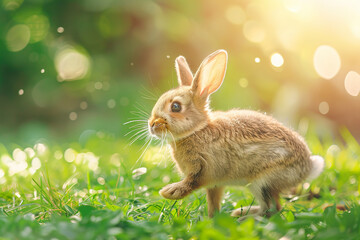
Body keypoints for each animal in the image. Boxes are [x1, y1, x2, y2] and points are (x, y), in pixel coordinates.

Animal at [148, 48, 324, 218]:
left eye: (175, 107)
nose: (152, 124)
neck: (197, 130)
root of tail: (308, 167)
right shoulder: (215, 184)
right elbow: (213, 202)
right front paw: (211, 218)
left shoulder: (203, 170)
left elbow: (191, 183)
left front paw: (169, 192)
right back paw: (240, 213)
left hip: (262, 182)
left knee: (272, 208)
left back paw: (243, 217)